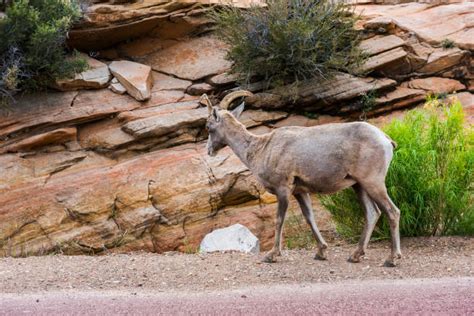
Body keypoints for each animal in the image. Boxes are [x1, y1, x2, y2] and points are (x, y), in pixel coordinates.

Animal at [200, 90, 400, 266]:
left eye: (209, 127)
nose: (209, 151)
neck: (260, 149)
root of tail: (386, 140)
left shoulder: (283, 189)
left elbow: (279, 220)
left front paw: (272, 255)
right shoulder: (300, 192)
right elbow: (309, 218)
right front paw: (321, 253)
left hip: (373, 182)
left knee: (392, 211)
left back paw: (391, 259)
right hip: (359, 185)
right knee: (372, 213)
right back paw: (355, 256)